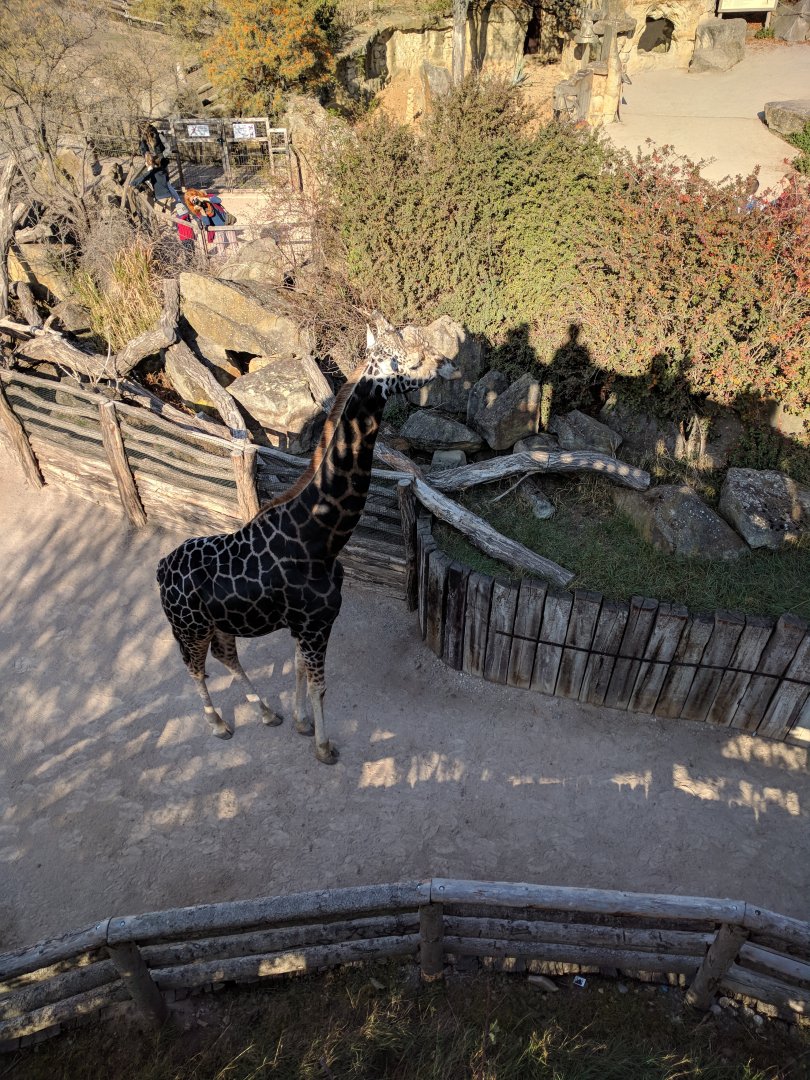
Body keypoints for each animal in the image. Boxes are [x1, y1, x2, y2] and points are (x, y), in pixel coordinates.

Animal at [157, 320, 458, 764]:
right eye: (414, 360)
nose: (449, 365)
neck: (322, 537)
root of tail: (160, 570)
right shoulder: (316, 622)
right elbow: (319, 683)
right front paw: (324, 746)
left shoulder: (305, 624)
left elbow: (298, 668)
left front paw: (300, 723)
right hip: (189, 628)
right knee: (195, 669)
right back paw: (218, 725)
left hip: (218, 625)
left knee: (226, 658)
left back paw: (267, 713)